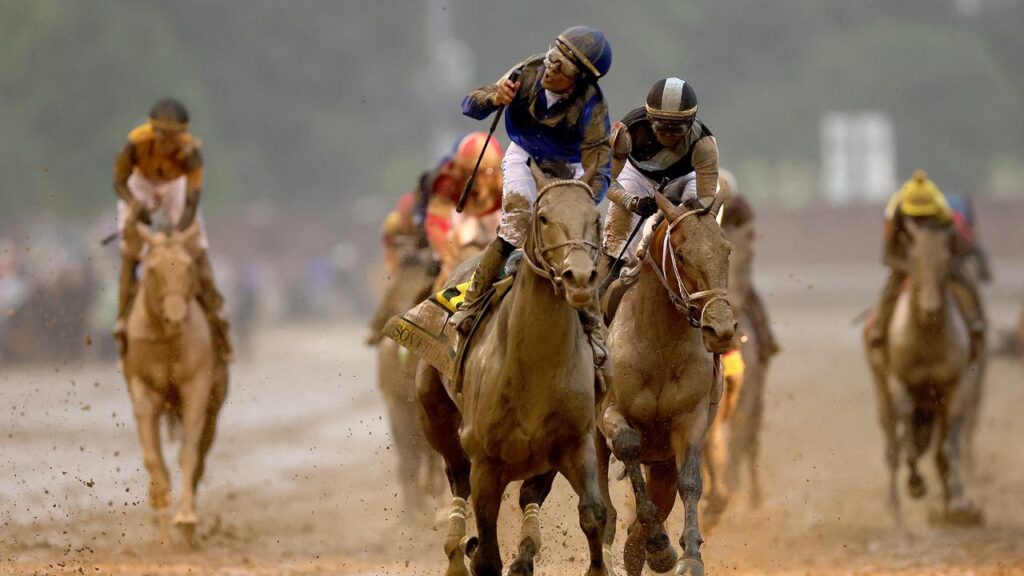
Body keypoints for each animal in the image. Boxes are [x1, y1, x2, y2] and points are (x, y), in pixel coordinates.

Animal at [122, 222, 229, 545]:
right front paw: (161, 517)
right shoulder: (142, 387)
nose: (175, 317)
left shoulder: (196, 386)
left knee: (201, 453)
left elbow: (189, 453)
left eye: (188, 266)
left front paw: (186, 519)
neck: (166, 341)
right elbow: (152, 458)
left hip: (215, 403)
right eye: (152, 268)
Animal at [416, 163, 609, 576]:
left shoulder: (575, 441)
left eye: (596, 219)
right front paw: (473, 553)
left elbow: (592, 513)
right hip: (435, 417)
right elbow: (487, 552)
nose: (579, 277)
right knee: (458, 480)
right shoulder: (485, 462)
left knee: (529, 495)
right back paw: (456, 551)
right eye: (544, 217)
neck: (535, 367)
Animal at [598, 192, 735, 576]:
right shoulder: (609, 414)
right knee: (604, 505)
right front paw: (660, 545)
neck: (658, 341)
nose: (721, 329)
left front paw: (688, 556)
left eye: (726, 250)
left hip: (660, 459)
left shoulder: (689, 422)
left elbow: (690, 481)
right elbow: (627, 446)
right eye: (683, 253)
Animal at [863, 220, 982, 525]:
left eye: (945, 261)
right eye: (914, 260)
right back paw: (895, 507)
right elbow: (906, 429)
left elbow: (948, 443)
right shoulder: (899, 380)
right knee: (892, 442)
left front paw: (958, 503)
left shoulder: (954, 384)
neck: (927, 336)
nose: (931, 308)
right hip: (882, 391)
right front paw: (915, 482)